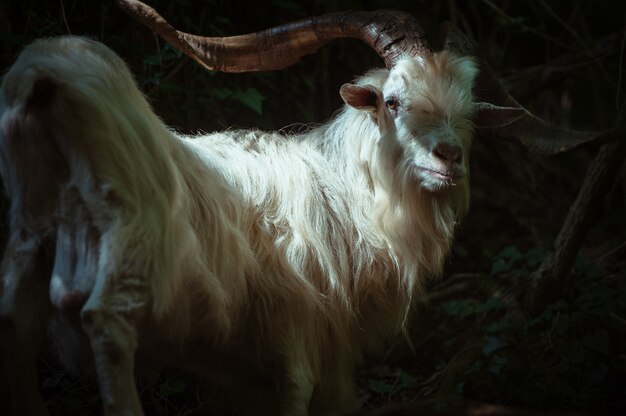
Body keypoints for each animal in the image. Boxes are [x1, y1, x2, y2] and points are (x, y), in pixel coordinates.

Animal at [0, 13, 476, 416]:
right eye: (392, 102)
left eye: (465, 107)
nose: (450, 157)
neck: (344, 190)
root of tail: (45, 78)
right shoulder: (292, 333)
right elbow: (295, 393)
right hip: (132, 238)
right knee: (106, 323)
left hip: (29, 234)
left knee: (13, 323)